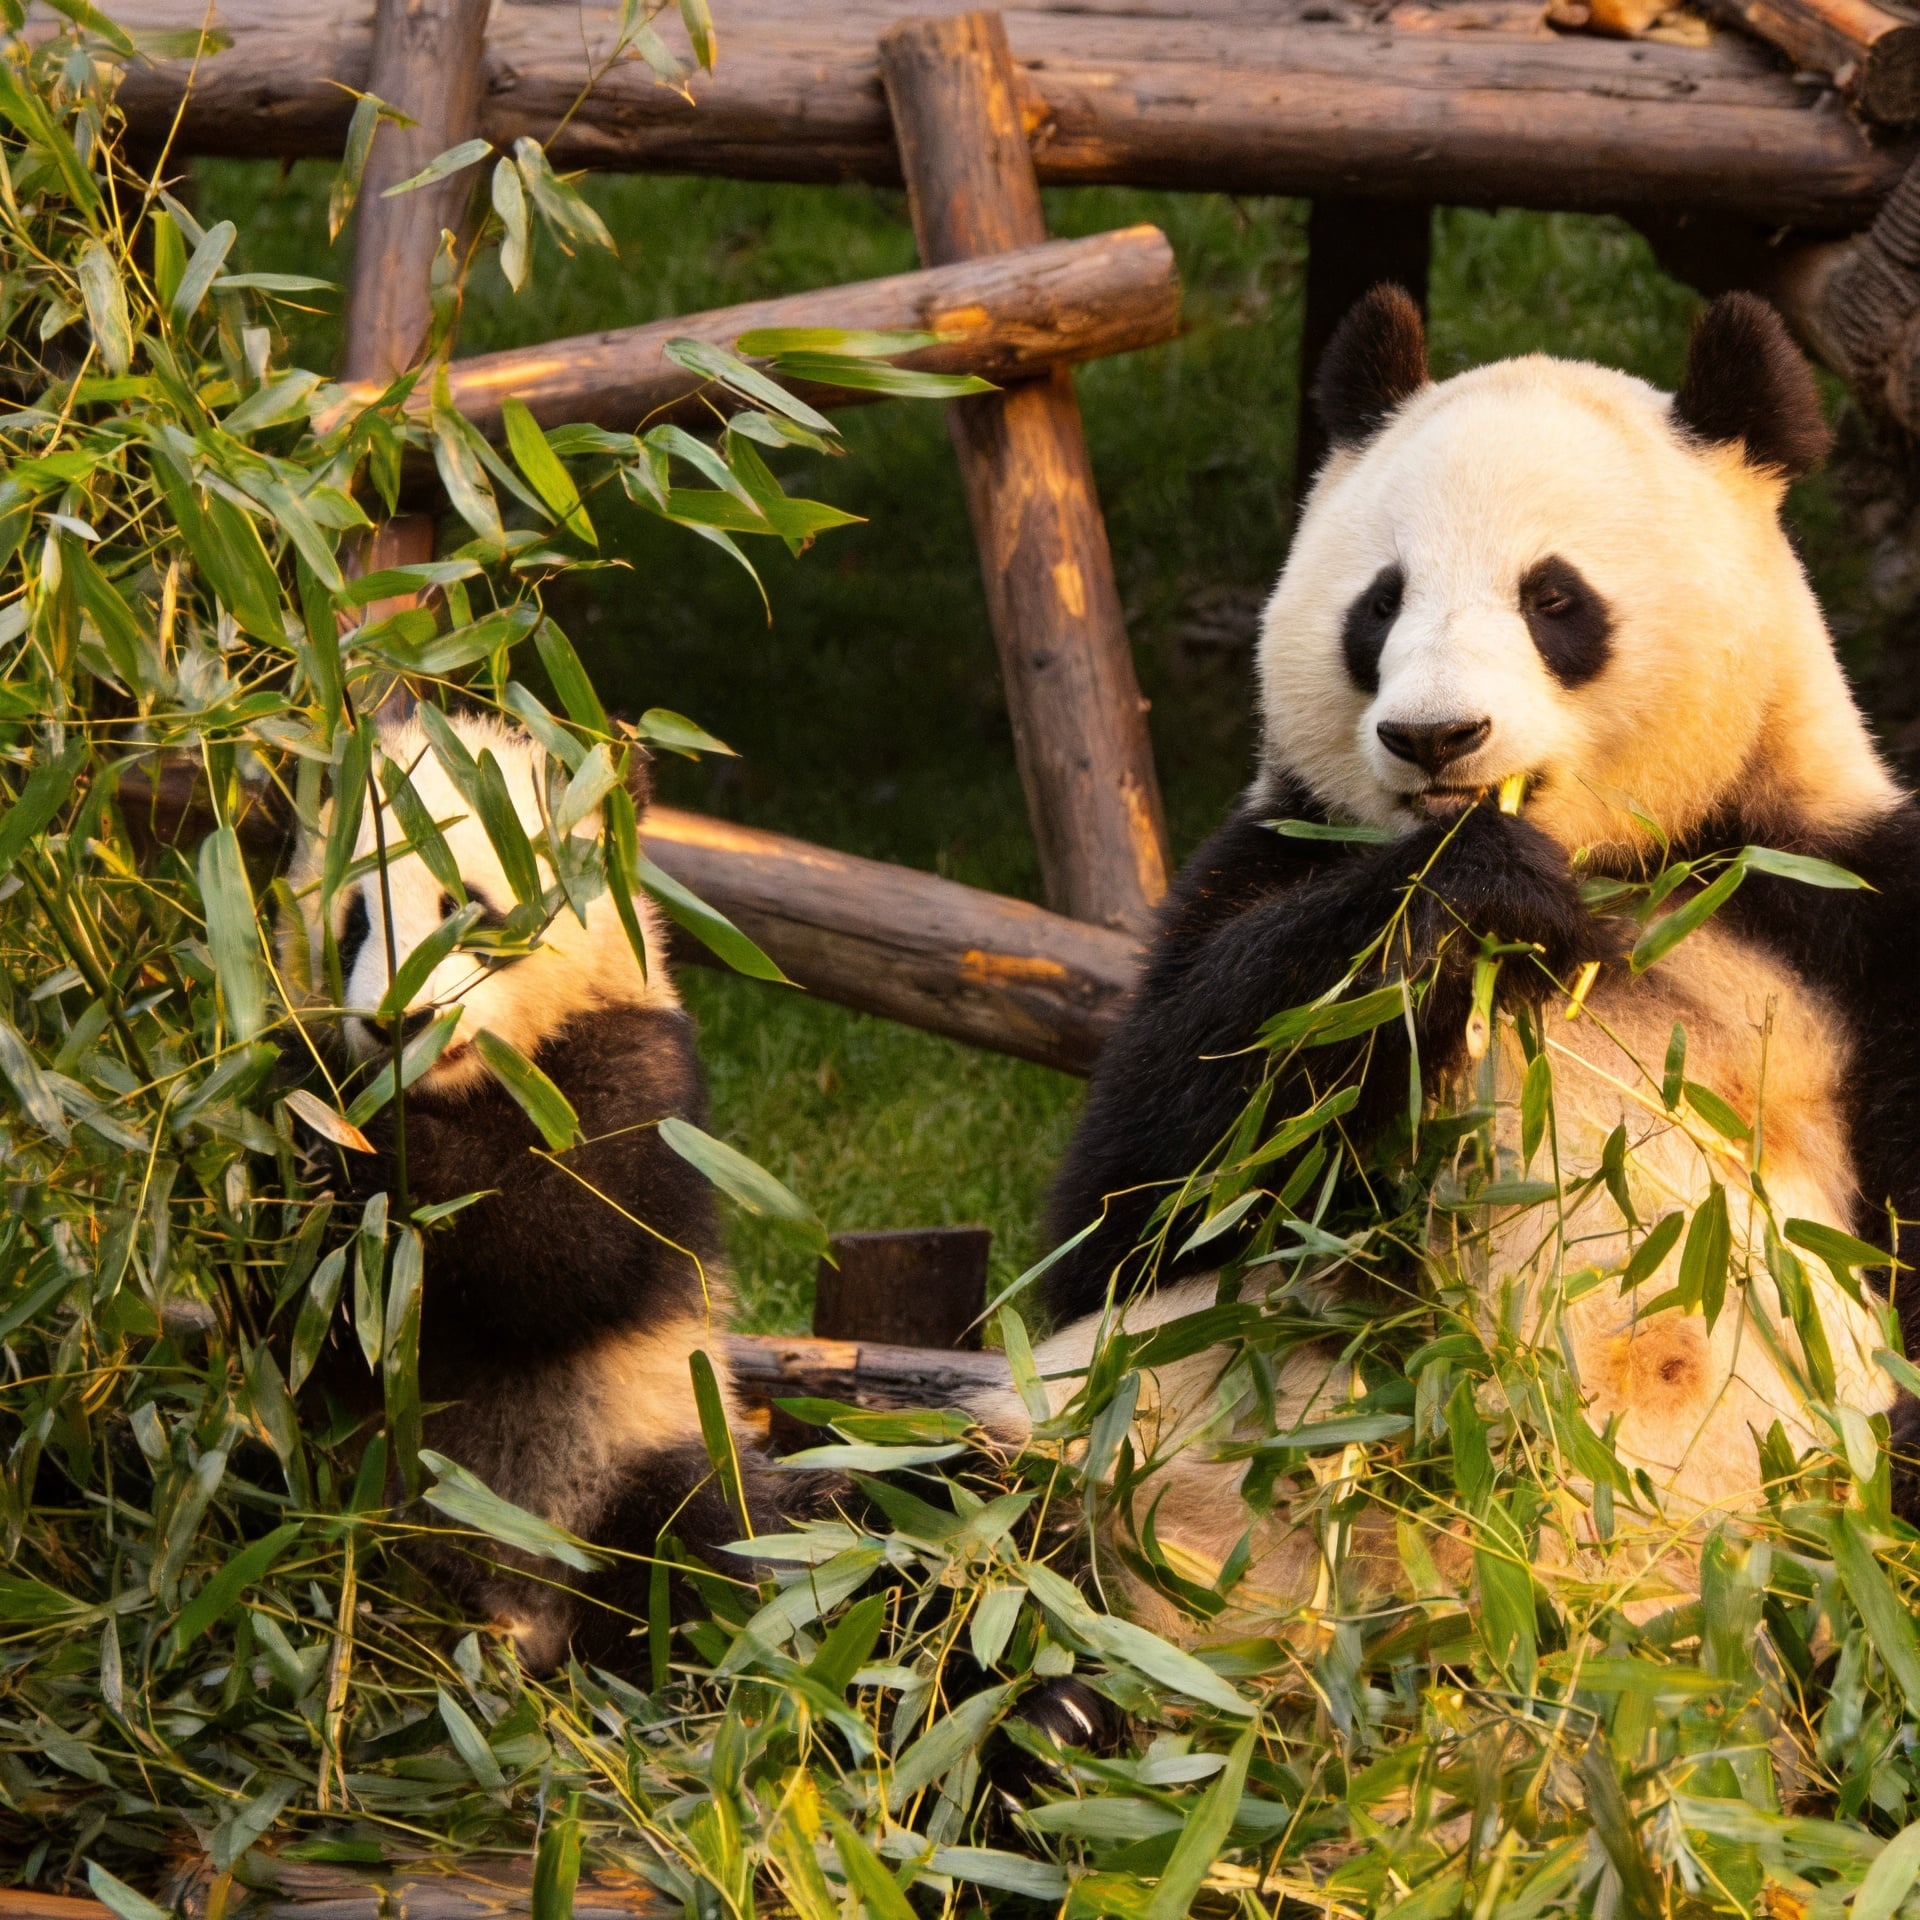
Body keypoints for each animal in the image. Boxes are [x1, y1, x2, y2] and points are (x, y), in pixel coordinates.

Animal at [284, 710, 766, 1670]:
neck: (465, 1086)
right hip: (346, 1481)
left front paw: (375, 1146)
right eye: (354, 924)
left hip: (648, 1443)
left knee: (693, 1564)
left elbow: (565, 1251)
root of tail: (524, 1610)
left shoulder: (638, 1077)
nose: (399, 1023)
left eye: (468, 909)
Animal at [980, 288, 1920, 1649]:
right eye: (1380, 604)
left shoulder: (1832, 910)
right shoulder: (1257, 871)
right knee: (978, 1519)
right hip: (1134, 1485)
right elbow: (1136, 1206)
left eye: (1556, 600)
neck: (1609, 874)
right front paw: (1461, 895)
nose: (1435, 736)